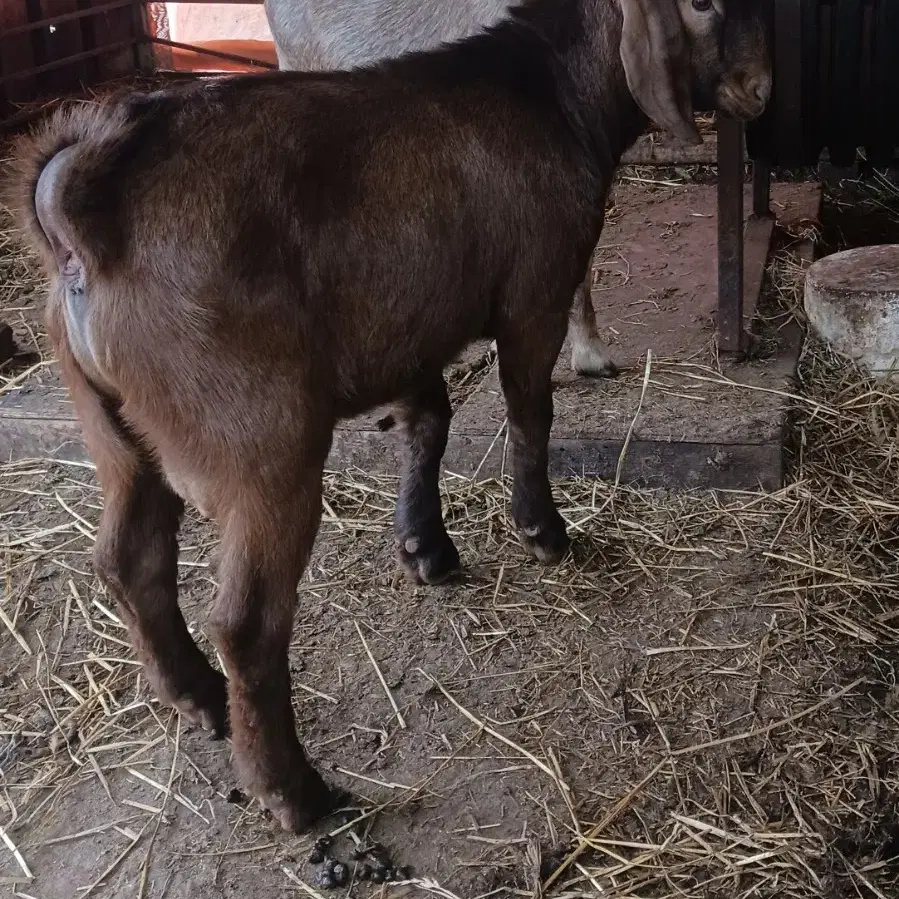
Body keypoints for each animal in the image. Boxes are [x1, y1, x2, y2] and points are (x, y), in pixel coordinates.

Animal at [3, 0, 768, 832]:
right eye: (702, 5)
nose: (760, 87)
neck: (547, 88)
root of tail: (84, 203)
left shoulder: (408, 322)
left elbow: (427, 420)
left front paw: (424, 545)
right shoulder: (533, 290)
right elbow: (530, 410)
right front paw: (542, 530)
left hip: (112, 427)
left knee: (128, 556)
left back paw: (197, 697)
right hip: (258, 439)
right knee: (246, 621)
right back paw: (294, 791)